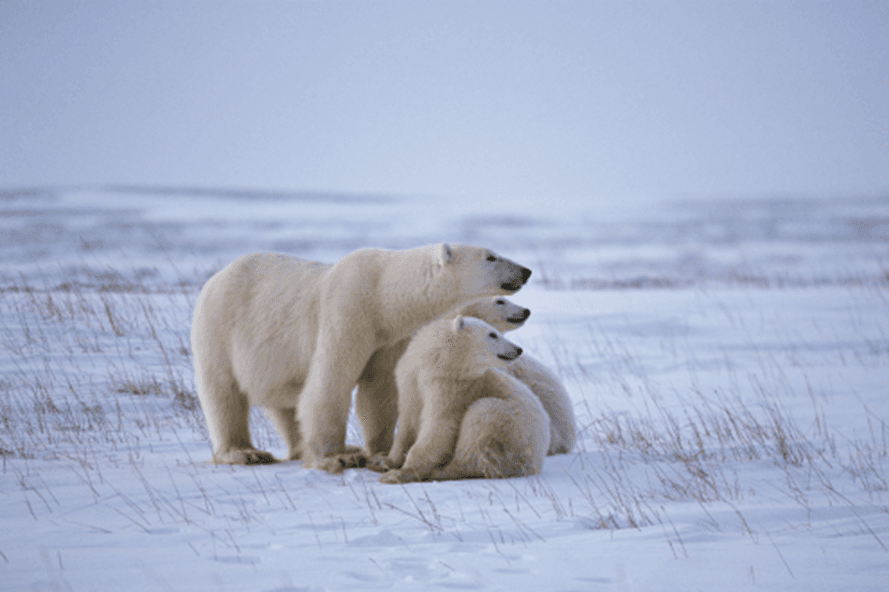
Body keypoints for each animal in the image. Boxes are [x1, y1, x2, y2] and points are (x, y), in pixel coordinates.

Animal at [191, 240, 532, 472]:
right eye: (491, 256)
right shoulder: (348, 311)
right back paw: (245, 452)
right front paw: (338, 457)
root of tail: (216, 277)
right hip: (219, 330)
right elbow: (331, 381)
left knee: (285, 401)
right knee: (223, 393)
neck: (382, 292)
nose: (526, 270)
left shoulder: (388, 337)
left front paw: (378, 452)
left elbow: (379, 391)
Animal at [374, 316, 548, 484]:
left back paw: (439, 471)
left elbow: (439, 425)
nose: (518, 349)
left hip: (512, 431)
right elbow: (407, 420)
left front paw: (397, 474)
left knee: (479, 428)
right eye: (492, 334)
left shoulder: (454, 389)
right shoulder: (410, 380)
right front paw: (385, 462)